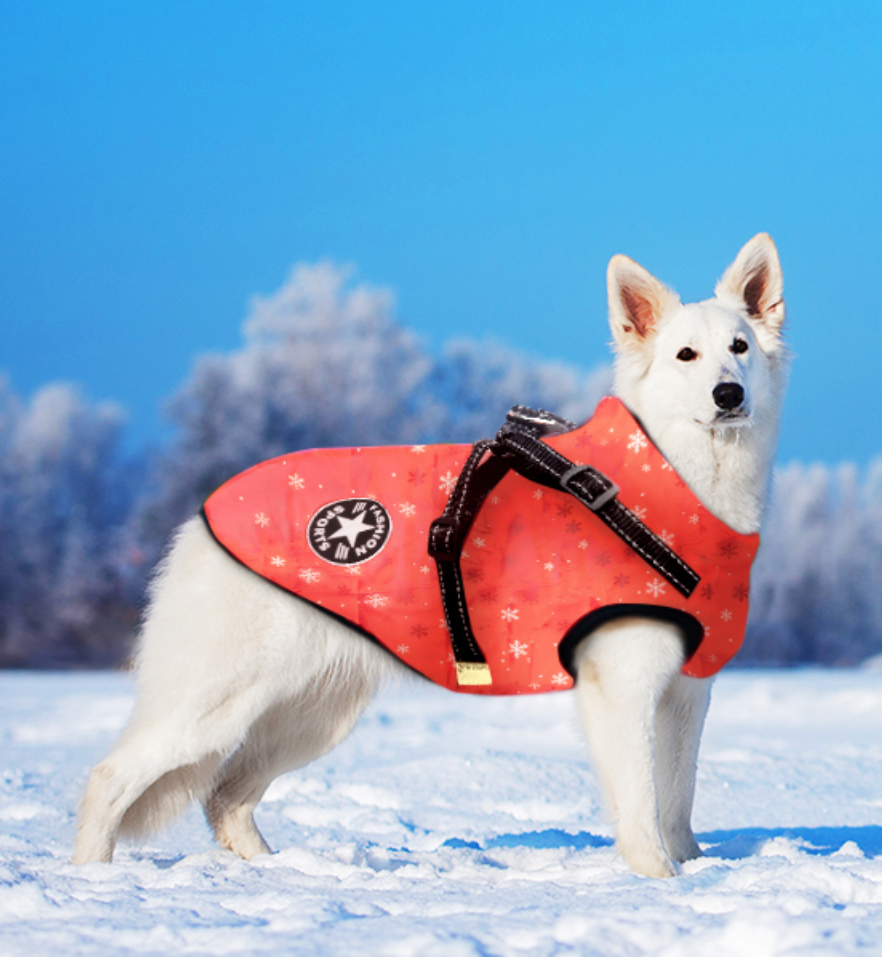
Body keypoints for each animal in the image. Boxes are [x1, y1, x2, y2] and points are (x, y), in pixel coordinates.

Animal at [77, 232, 784, 876]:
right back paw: (91, 877)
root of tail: (202, 514)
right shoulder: (624, 688)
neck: (664, 486)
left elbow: (678, 801)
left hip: (315, 713)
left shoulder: (687, 693)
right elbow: (641, 808)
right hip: (215, 704)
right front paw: (659, 883)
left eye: (740, 349)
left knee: (225, 796)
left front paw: (696, 873)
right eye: (686, 355)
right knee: (110, 778)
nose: (728, 395)